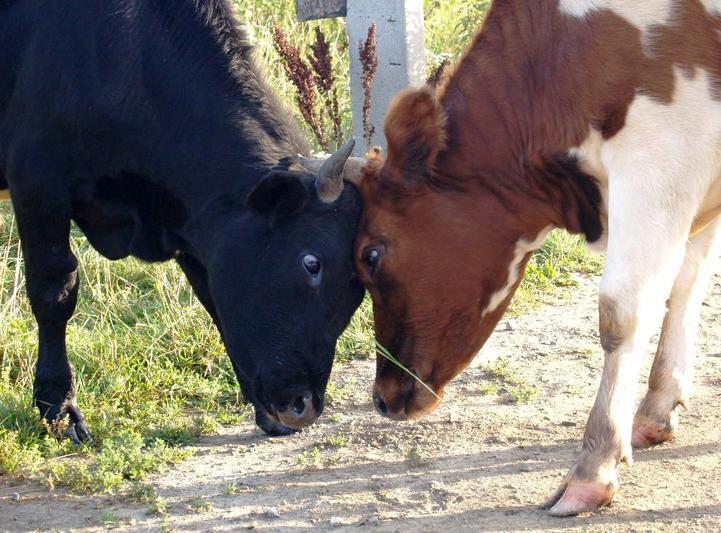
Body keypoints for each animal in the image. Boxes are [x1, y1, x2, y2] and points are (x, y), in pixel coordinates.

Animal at [344, 0, 720, 516]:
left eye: (371, 254)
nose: (383, 397)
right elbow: (687, 282)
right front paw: (657, 408)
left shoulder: (661, 158)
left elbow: (622, 313)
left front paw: (592, 470)